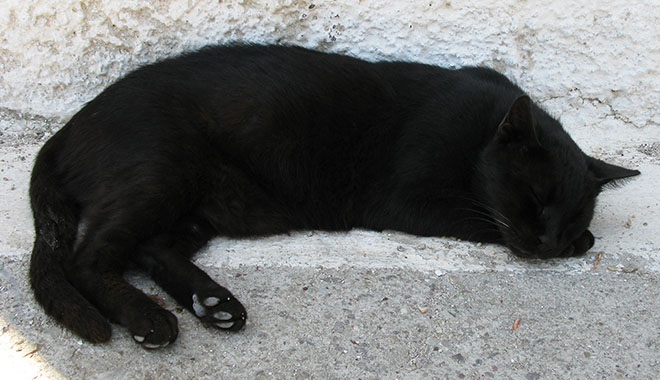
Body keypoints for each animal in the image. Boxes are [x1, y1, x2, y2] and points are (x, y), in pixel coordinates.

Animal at [27, 43, 640, 348]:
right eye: (536, 197)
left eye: (572, 213)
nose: (549, 242)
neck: (479, 132)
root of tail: (64, 130)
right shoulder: (412, 199)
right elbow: (485, 220)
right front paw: (579, 244)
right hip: (159, 175)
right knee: (88, 258)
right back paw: (150, 320)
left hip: (202, 205)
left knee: (149, 249)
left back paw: (214, 304)